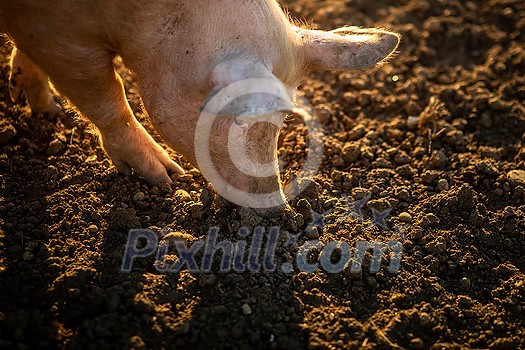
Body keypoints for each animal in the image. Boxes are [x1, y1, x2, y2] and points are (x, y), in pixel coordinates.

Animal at [1, 0, 402, 217]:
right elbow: (106, 96)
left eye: (282, 121)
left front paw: (45, 109)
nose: (278, 209)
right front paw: (168, 178)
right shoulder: (60, 38)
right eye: (238, 120)